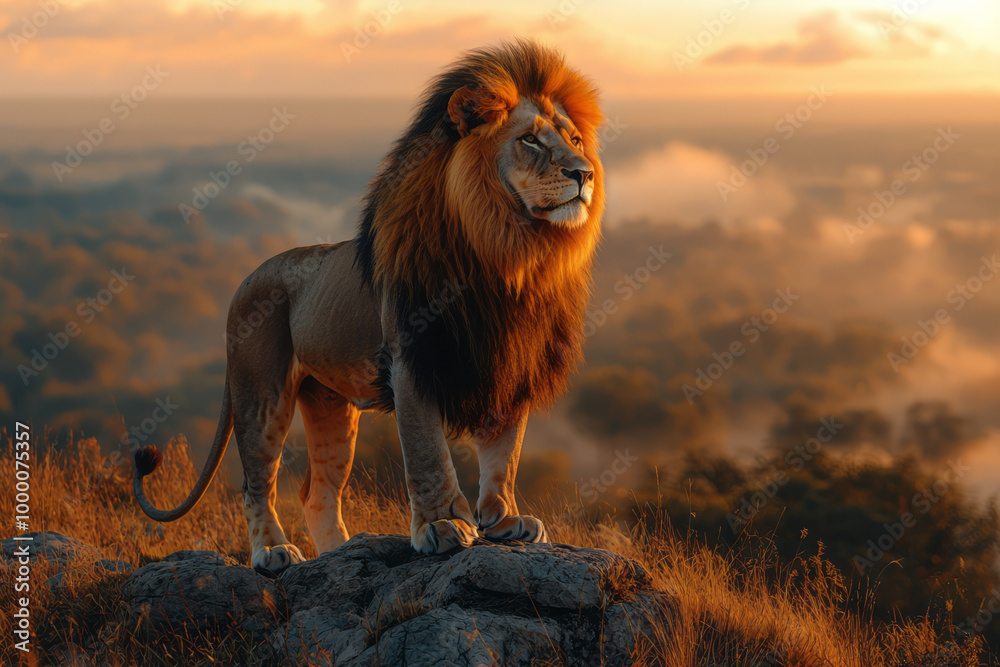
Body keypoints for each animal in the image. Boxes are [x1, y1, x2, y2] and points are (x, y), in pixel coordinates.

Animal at [133, 39, 605, 575]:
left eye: (575, 139)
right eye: (530, 141)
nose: (585, 173)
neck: (510, 257)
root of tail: (248, 277)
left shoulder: (509, 366)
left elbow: (505, 455)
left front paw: (506, 521)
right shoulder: (412, 359)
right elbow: (427, 454)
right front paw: (443, 526)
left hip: (331, 408)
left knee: (316, 493)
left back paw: (341, 553)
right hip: (261, 394)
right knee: (256, 484)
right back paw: (273, 552)